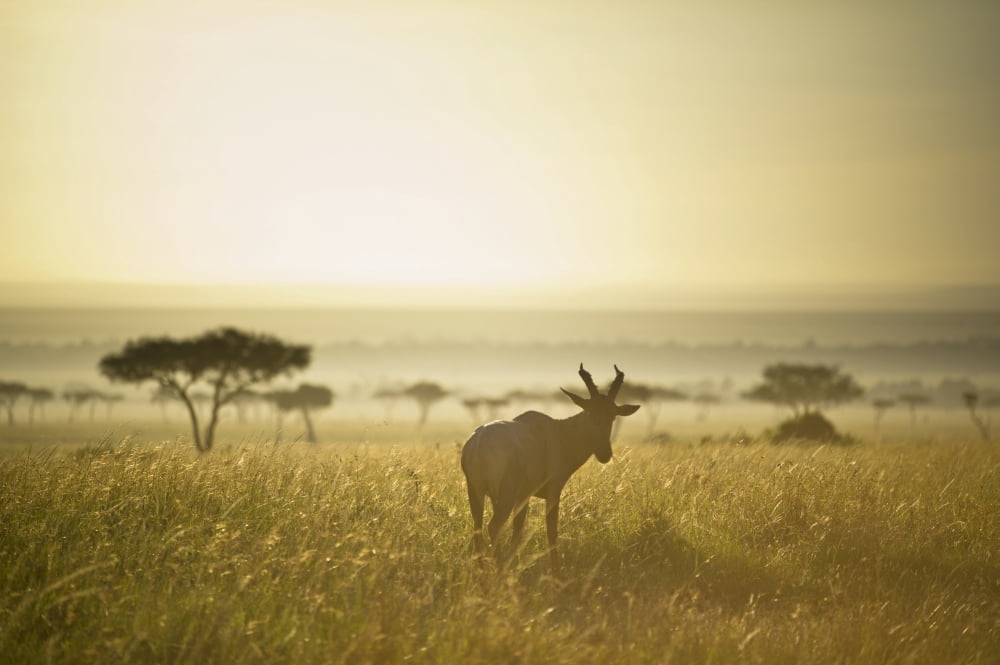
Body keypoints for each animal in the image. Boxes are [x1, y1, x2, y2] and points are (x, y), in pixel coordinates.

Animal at [460, 364, 640, 568]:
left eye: (612, 416)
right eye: (590, 413)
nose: (604, 454)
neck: (557, 431)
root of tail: (478, 442)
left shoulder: (524, 496)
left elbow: (517, 531)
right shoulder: (554, 488)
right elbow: (551, 530)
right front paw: (555, 570)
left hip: (476, 491)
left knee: (477, 527)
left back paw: (484, 571)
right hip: (505, 494)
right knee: (494, 526)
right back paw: (498, 569)